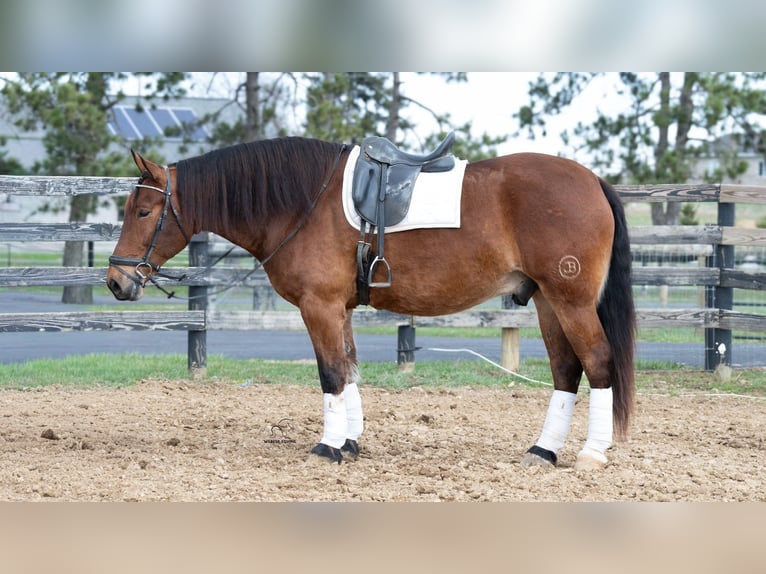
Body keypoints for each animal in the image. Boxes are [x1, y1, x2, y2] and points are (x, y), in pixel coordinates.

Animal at [106, 137, 636, 471]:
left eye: (144, 211)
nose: (116, 281)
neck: (301, 204)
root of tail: (593, 181)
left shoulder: (318, 306)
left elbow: (330, 374)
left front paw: (327, 447)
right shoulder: (339, 309)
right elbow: (350, 370)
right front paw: (350, 441)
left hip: (570, 301)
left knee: (598, 362)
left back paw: (591, 453)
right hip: (547, 301)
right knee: (566, 370)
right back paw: (543, 451)